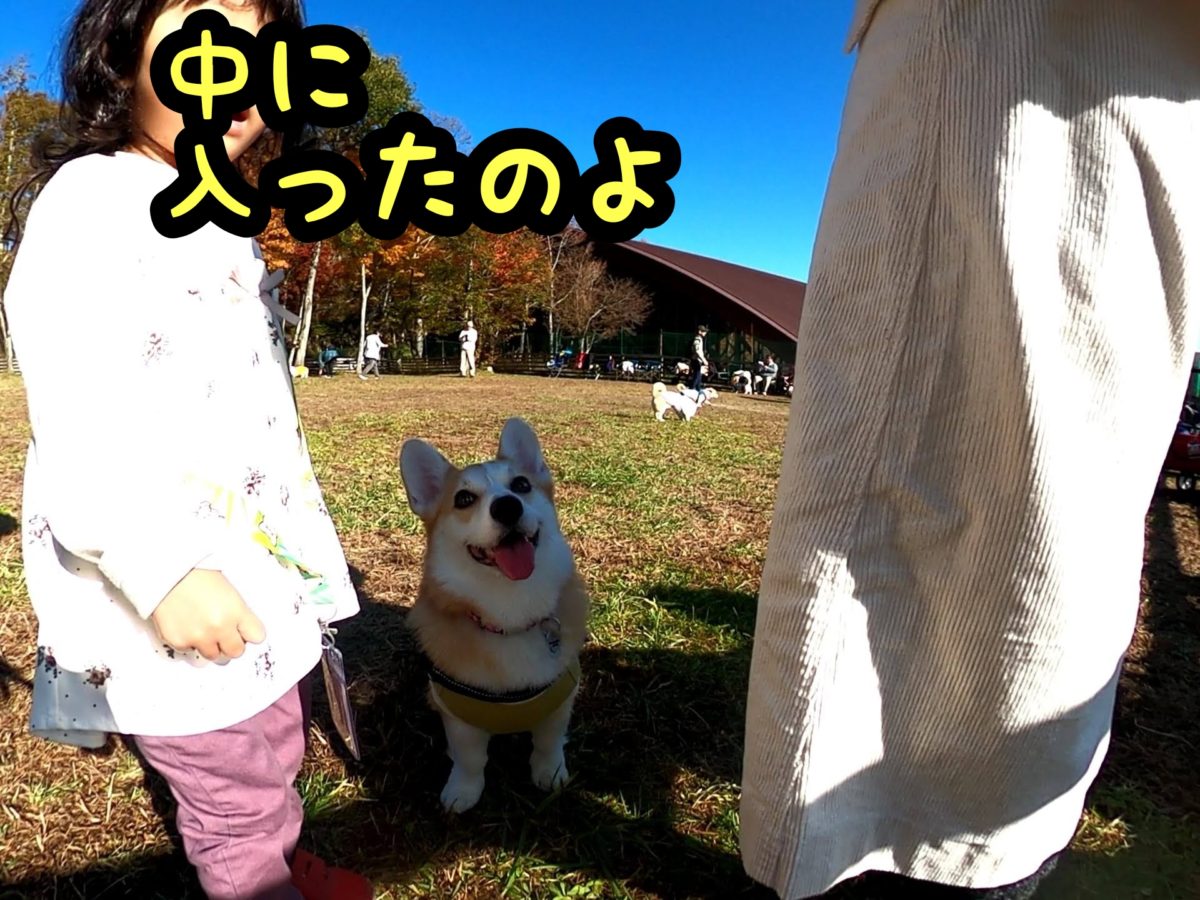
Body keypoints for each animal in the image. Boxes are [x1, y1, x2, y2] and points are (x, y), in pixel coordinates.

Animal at [399, 418, 590, 813]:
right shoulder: (459, 717)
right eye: (463, 499)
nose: (507, 507)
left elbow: (548, 743)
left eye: (521, 485)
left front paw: (550, 775)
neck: (511, 613)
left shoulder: (559, 701)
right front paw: (462, 792)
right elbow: (470, 759)